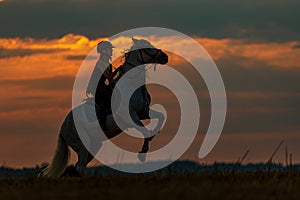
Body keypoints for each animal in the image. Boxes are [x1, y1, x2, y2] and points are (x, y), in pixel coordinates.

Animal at [39, 38, 169, 177]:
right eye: (147, 48)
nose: (165, 57)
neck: (132, 85)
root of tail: (63, 126)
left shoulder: (143, 112)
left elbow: (160, 116)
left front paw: (154, 134)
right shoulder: (129, 117)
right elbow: (145, 131)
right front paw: (143, 152)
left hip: (95, 145)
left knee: (78, 167)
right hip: (82, 145)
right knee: (80, 167)